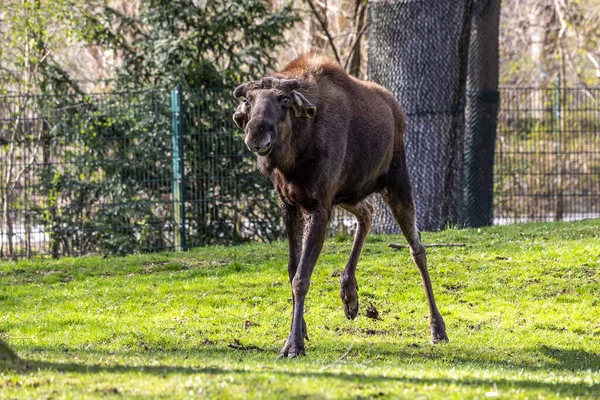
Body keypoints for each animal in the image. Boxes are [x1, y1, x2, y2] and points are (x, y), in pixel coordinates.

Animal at [232, 53, 448, 356]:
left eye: (283, 99)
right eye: (249, 101)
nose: (256, 135)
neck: (294, 156)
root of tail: (396, 108)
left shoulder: (320, 205)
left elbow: (301, 278)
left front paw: (293, 344)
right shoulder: (289, 203)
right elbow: (292, 270)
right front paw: (302, 329)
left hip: (395, 180)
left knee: (417, 248)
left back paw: (437, 327)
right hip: (349, 194)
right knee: (367, 213)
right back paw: (350, 294)